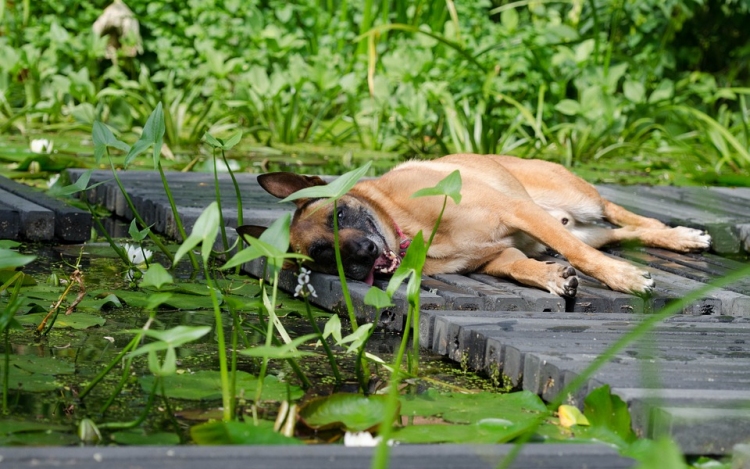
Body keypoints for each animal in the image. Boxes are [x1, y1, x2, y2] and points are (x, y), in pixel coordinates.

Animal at [239, 155, 712, 298]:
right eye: (321, 256)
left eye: (338, 216)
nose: (361, 257)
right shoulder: (495, 256)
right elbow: (519, 266)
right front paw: (551, 277)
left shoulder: (517, 212)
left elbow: (583, 257)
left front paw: (623, 278)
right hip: (581, 226)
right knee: (619, 234)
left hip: (580, 202)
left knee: (622, 215)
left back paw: (681, 235)